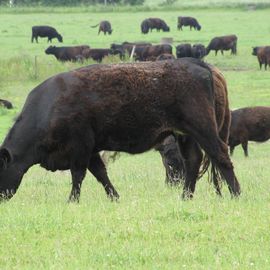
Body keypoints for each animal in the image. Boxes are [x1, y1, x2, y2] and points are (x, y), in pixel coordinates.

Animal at [0, 59, 240, 202]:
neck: (50, 106)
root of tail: (200, 64)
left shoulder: (80, 146)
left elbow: (78, 175)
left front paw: (72, 200)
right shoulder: (91, 149)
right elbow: (100, 173)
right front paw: (114, 197)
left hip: (203, 129)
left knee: (220, 155)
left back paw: (236, 194)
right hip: (185, 134)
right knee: (193, 160)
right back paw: (185, 197)